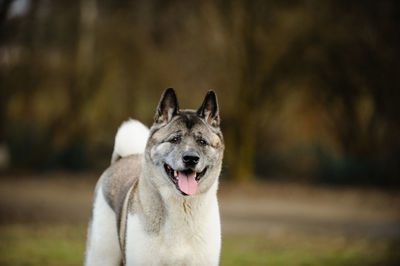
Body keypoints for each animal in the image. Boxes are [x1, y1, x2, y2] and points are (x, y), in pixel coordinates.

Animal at [84, 88, 223, 264]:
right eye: (175, 139)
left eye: (202, 142)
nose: (191, 158)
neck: (182, 205)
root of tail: (123, 158)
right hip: (101, 255)